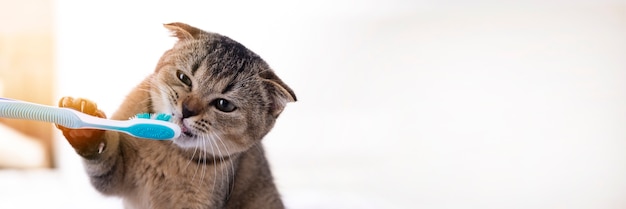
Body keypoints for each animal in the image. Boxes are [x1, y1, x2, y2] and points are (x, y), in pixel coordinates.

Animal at [54, 22, 296, 208]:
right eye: (184, 78)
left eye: (224, 105)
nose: (187, 110)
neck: (168, 152)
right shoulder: (115, 177)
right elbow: (102, 162)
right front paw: (86, 130)